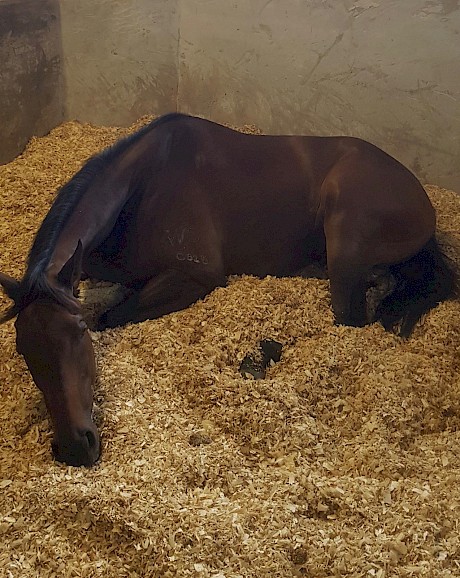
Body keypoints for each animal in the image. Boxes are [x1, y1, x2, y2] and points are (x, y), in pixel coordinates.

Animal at [0, 111, 454, 464]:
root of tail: (421, 198)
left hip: (345, 238)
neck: (142, 187)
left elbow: (111, 315)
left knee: (348, 323)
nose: (75, 448)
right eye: (23, 348)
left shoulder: (196, 276)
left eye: (78, 335)